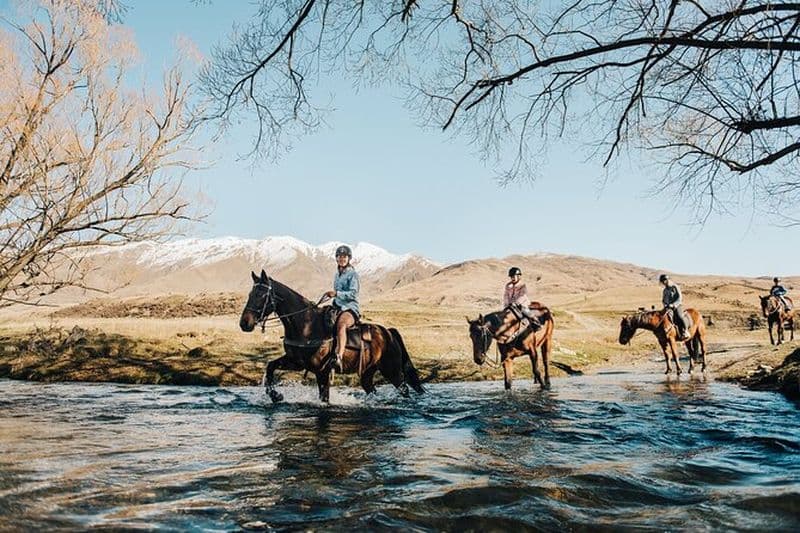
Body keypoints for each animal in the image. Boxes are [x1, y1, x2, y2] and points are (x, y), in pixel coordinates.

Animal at [239, 270, 424, 403]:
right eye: (250, 294)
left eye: (262, 295)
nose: (244, 323)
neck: (306, 325)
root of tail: (388, 333)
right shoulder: (296, 362)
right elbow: (270, 367)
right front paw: (276, 396)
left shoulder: (322, 372)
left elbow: (324, 399)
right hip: (367, 374)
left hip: (393, 372)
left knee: (405, 390)